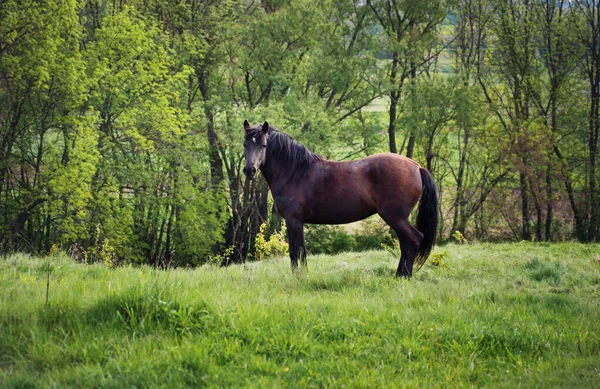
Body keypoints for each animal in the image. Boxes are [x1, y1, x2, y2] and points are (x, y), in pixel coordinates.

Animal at [241, 121, 438, 276]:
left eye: (263, 145)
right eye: (245, 145)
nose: (249, 170)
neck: (295, 172)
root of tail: (417, 166)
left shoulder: (294, 220)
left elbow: (296, 251)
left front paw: (299, 276)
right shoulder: (297, 222)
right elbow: (300, 250)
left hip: (395, 217)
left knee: (414, 240)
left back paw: (404, 276)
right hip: (398, 219)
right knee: (406, 243)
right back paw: (399, 275)